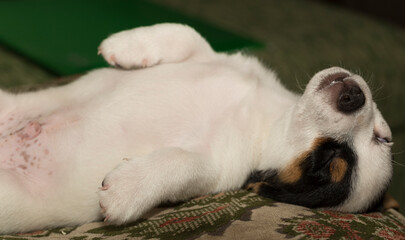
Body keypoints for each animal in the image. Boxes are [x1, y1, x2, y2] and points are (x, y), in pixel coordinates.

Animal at [0, 23, 392, 233]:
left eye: (325, 163)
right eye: (383, 135)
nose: (354, 96)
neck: (267, 115)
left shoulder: (213, 169)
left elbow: (178, 163)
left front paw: (127, 188)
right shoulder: (212, 56)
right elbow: (185, 34)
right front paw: (125, 45)